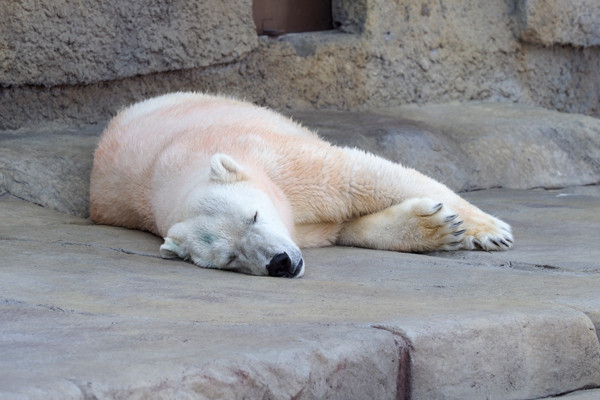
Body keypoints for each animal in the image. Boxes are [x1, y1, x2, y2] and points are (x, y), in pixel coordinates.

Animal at [89, 92, 510, 278]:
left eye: (254, 215)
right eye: (230, 258)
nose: (280, 262)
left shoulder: (271, 160)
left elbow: (357, 177)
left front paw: (488, 231)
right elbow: (343, 227)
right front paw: (435, 225)